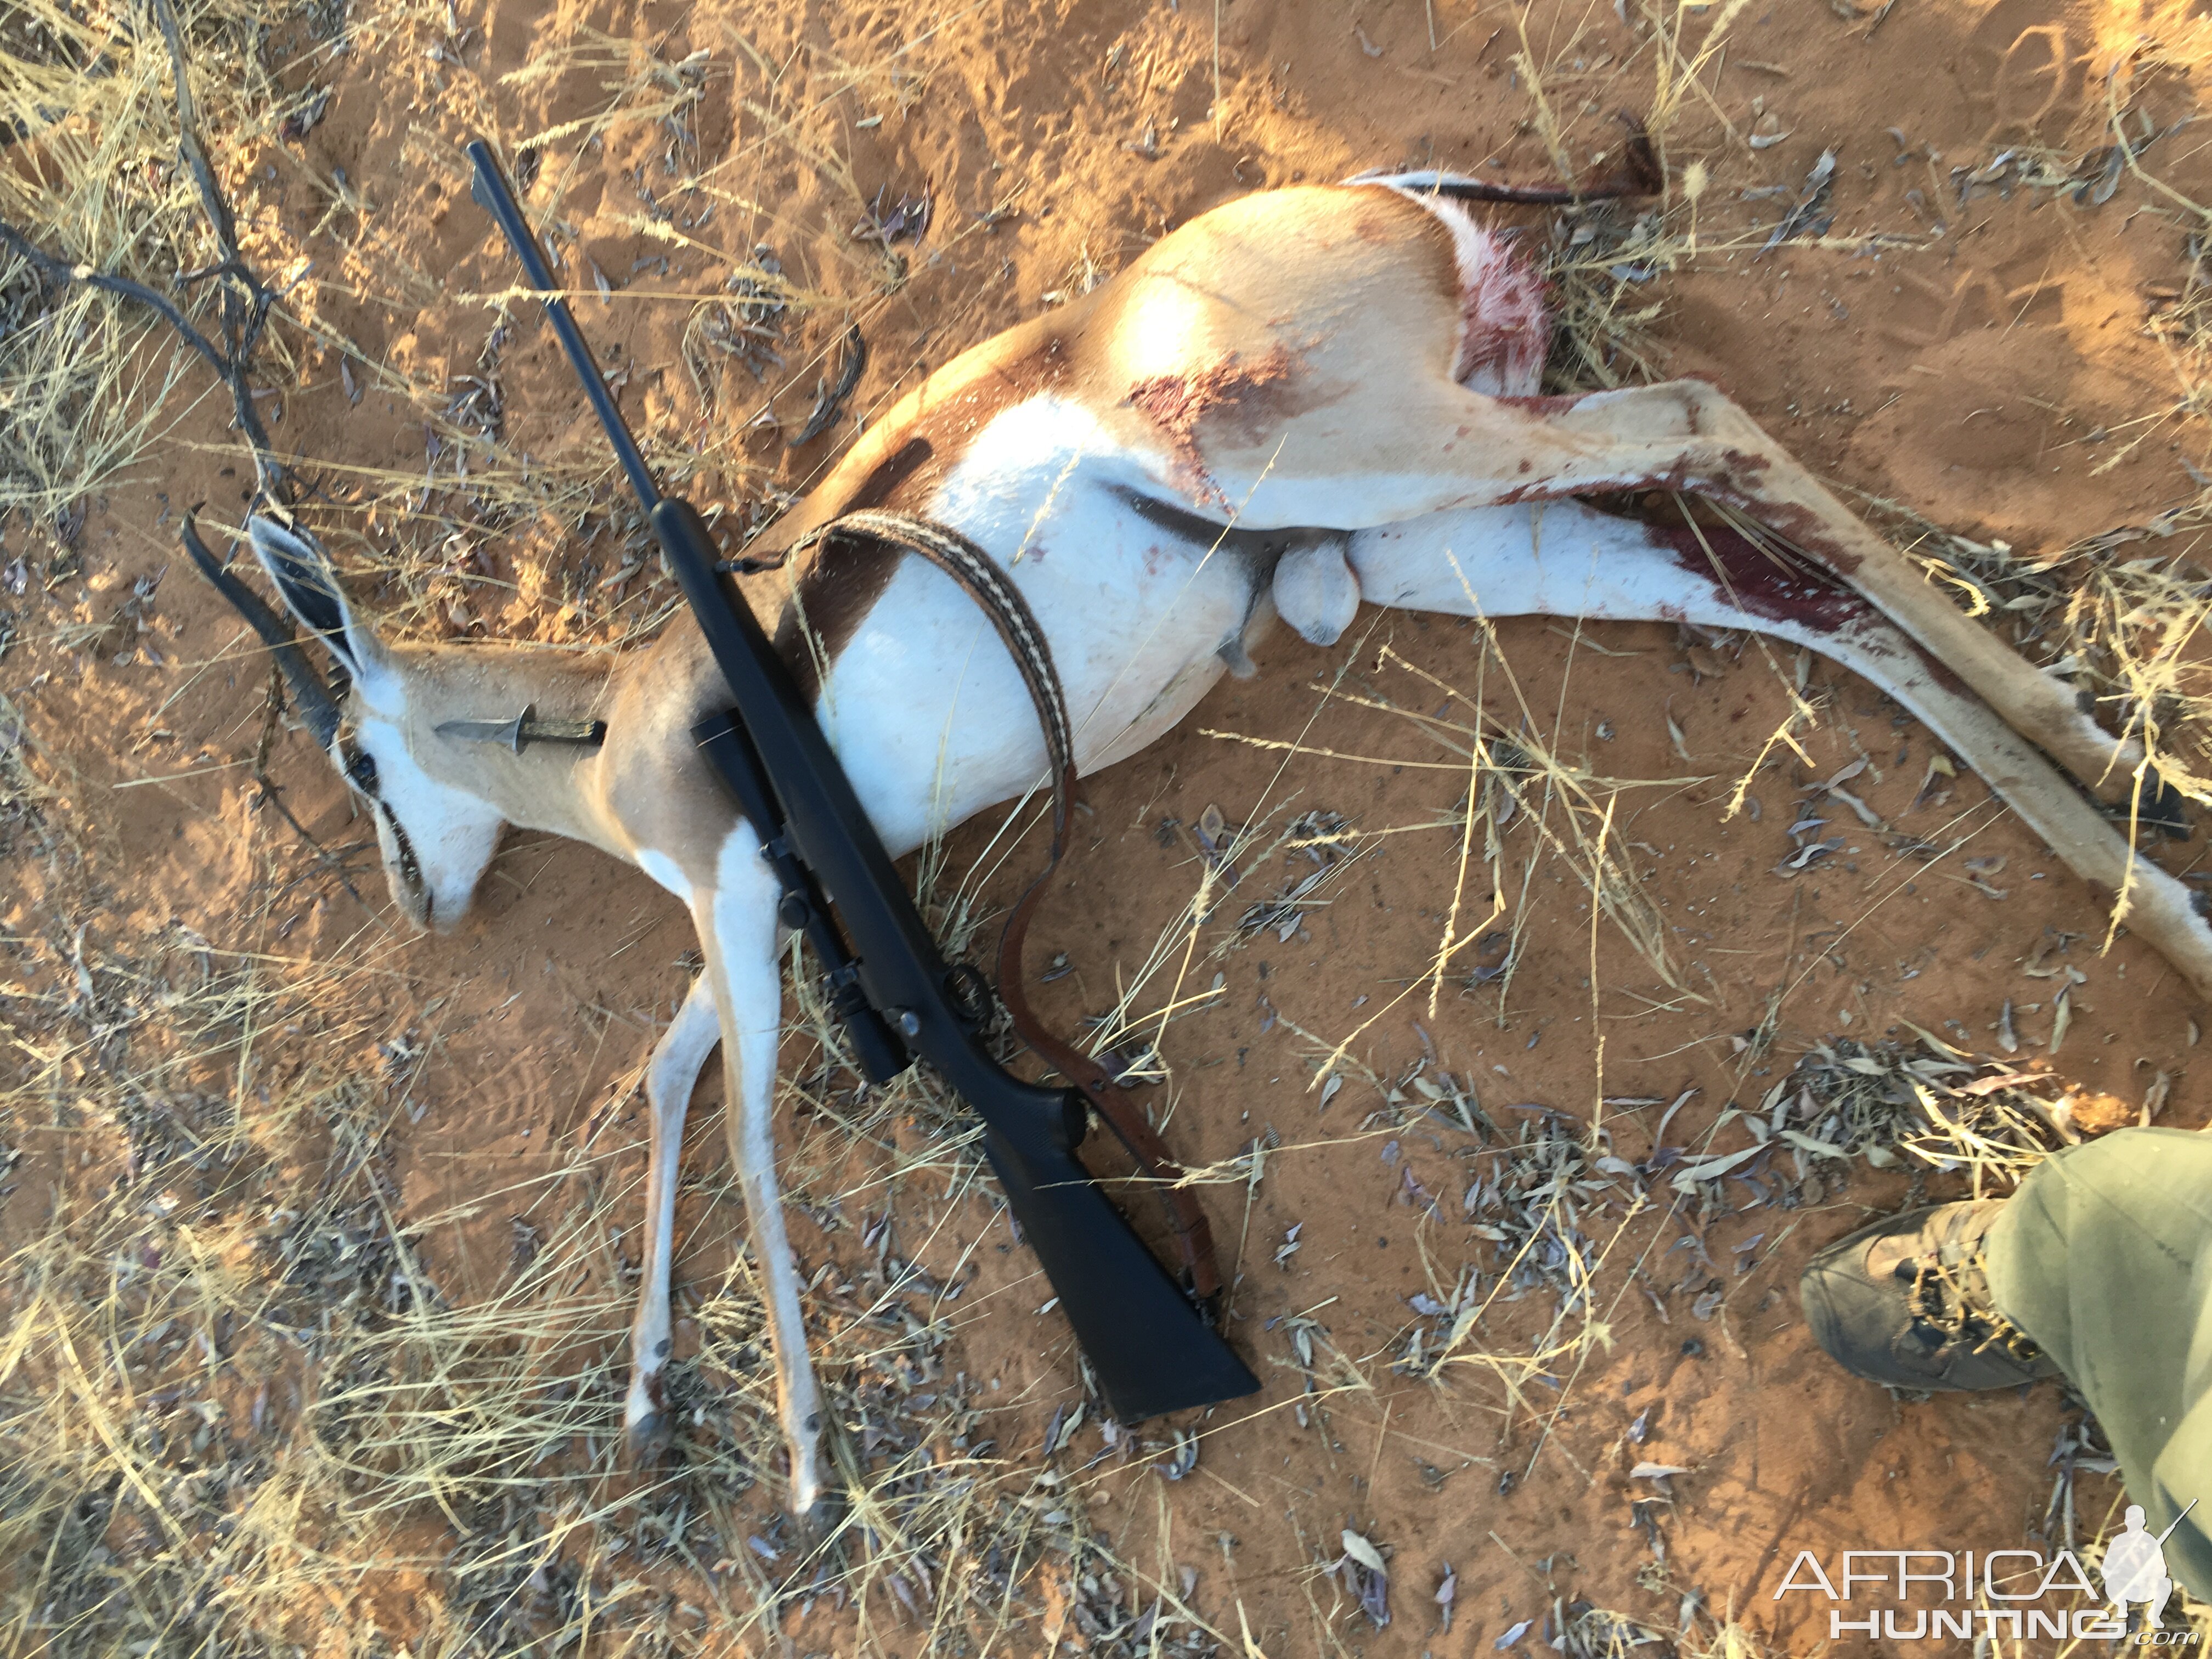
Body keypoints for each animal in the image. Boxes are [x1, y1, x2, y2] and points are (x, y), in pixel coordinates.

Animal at [194, 169, 2212, 1522]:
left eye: (355, 760)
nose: (418, 906)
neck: (625, 718)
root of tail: (1399, 194)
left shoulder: (746, 896)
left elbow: (747, 1125)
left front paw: (798, 1461)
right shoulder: (732, 928)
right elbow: (666, 1081)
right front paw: (640, 1398)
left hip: (1372, 464)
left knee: (1705, 421)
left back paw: (2132, 821)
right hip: (1450, 535)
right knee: (1783, 590)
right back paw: (2142, 844)